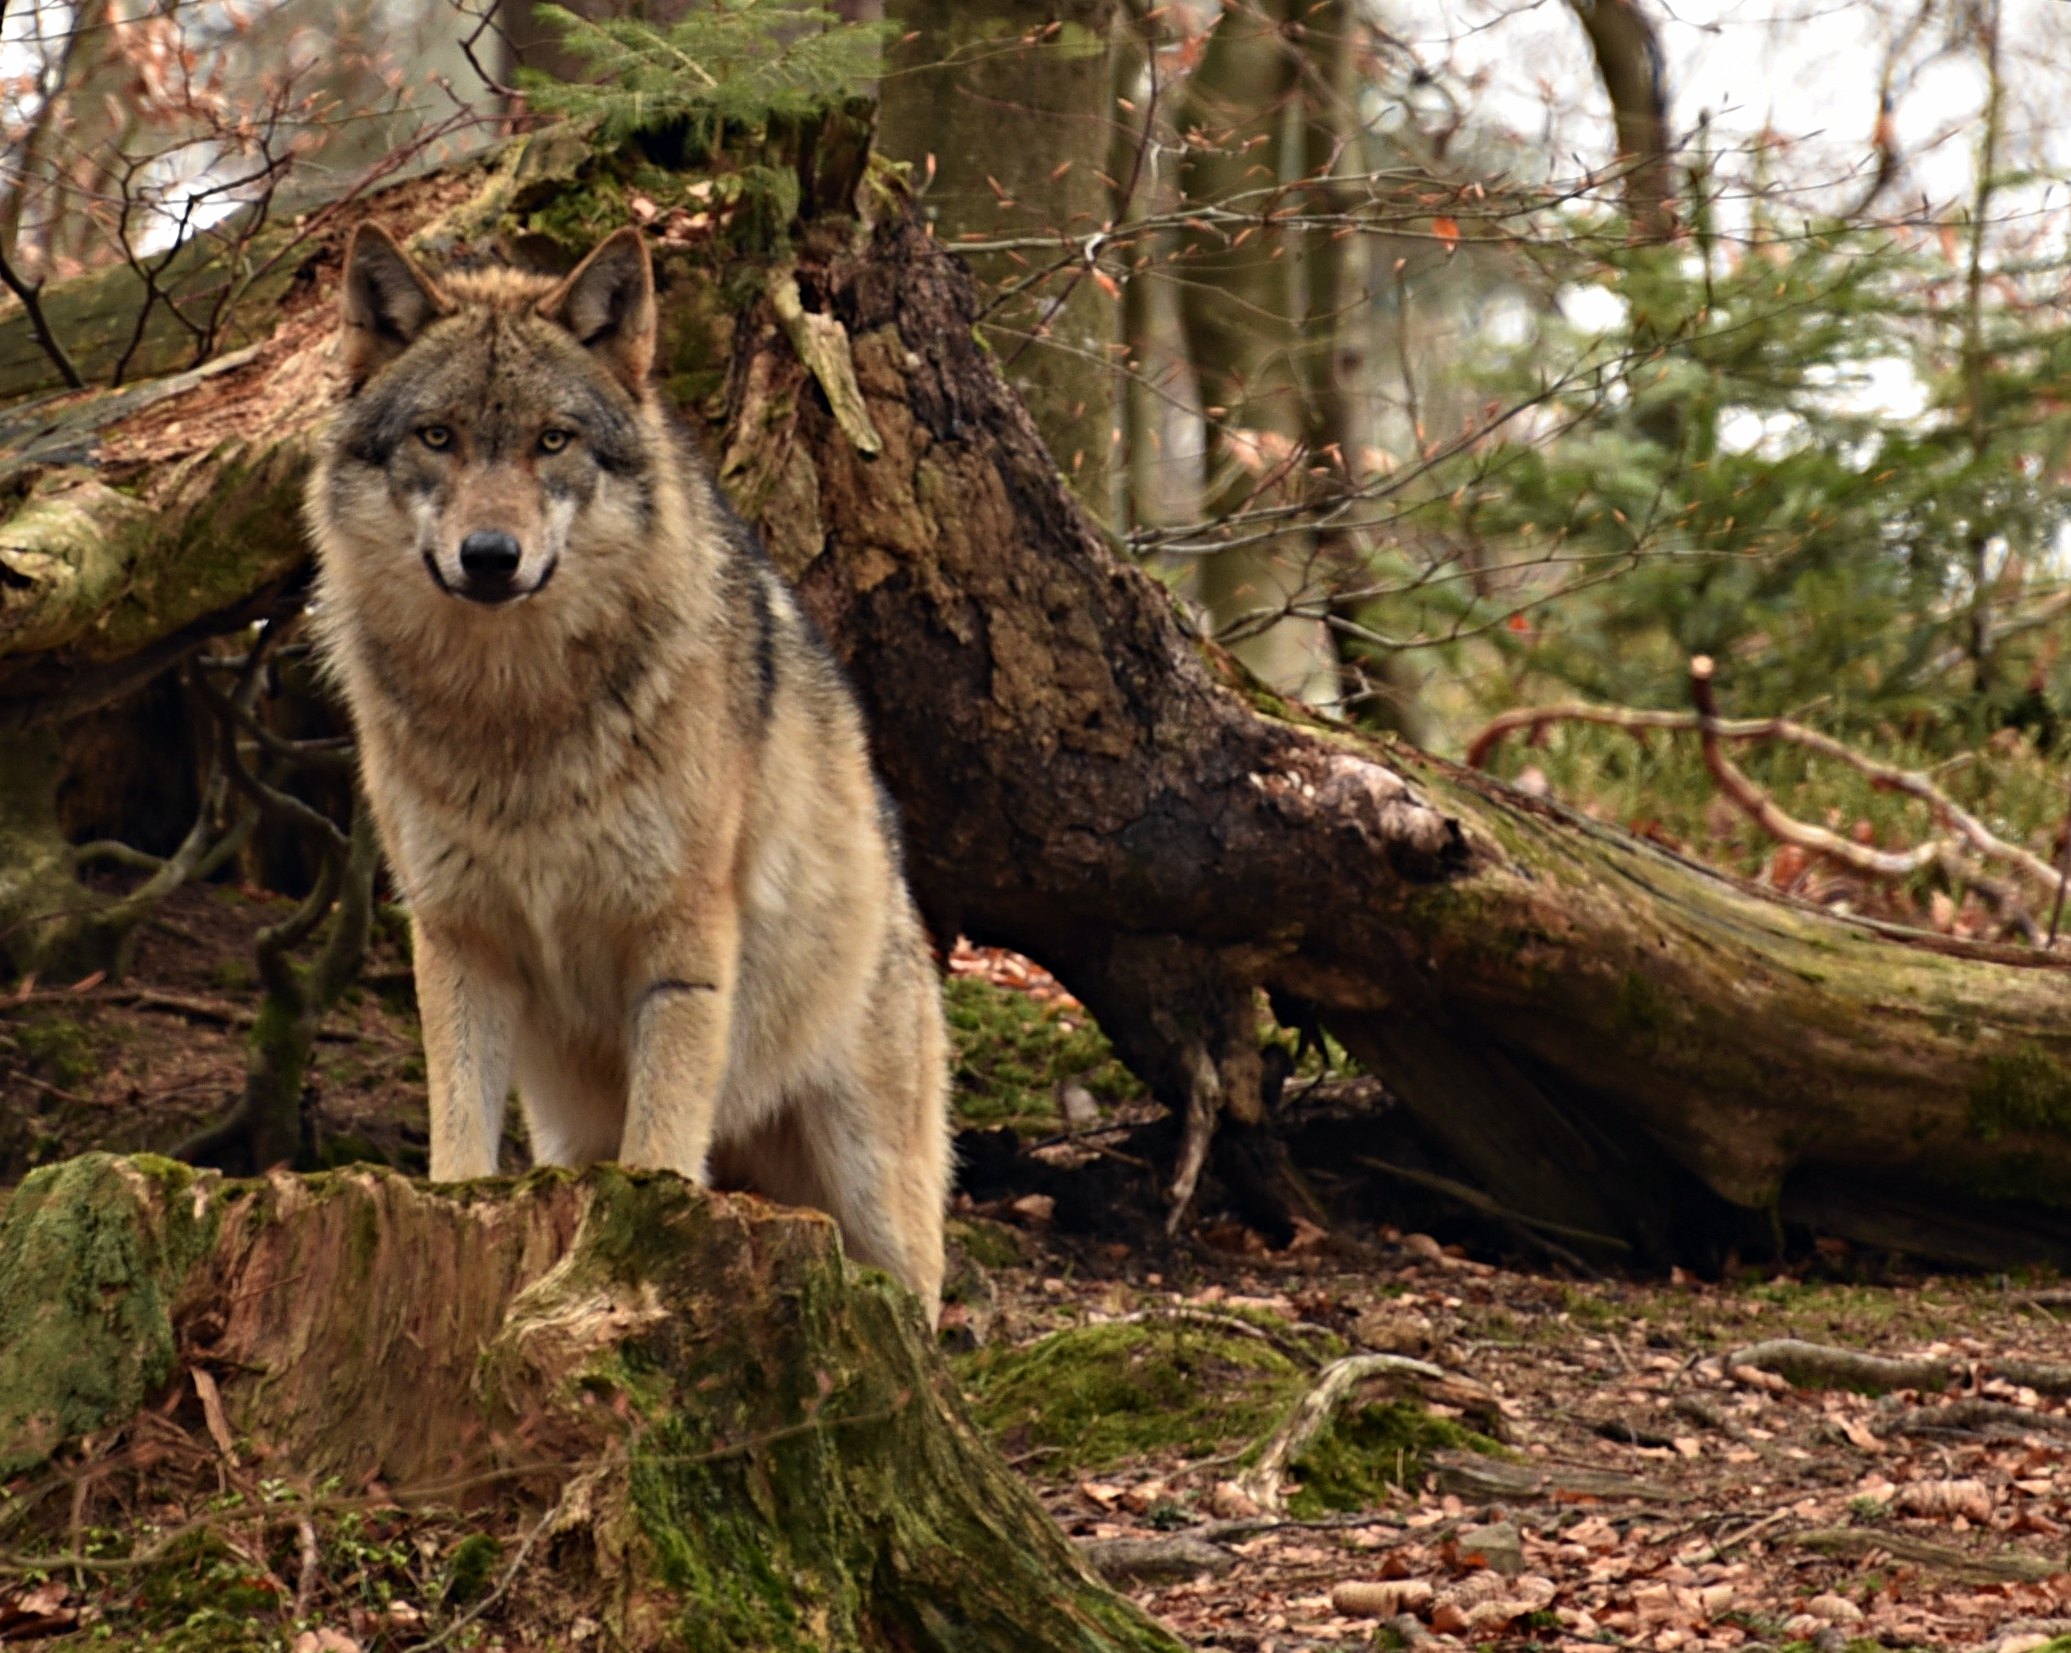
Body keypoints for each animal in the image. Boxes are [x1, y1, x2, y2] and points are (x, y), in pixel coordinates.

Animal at [304, 222, 950, 1320]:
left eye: (552, 441)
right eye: (437, 437)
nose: (490, 555)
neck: (515, 714)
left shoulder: (681, 938)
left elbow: (661, 1149)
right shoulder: (458, 935)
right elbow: (459, 1136)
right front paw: (456, 1201)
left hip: (873, 1196)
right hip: (570, 1124)